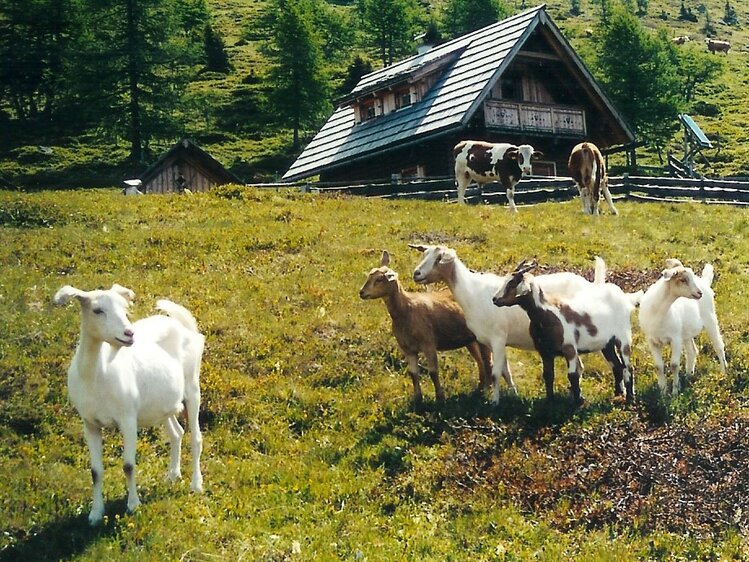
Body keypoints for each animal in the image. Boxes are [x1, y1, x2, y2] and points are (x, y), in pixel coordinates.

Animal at [52, 282, 205, 524]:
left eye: (125, 308)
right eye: (97, 310)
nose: (129, 333)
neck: (96, 377)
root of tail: (182, 325)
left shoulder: (128, 419)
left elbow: (128, 465)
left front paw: (133, 505)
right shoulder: (90, 423)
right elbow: (95, 471)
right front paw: (95, 514)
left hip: (192, 386)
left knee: (196, 438)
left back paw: (196, 485)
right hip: (162, 404)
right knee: (176, 433)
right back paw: (172, 475)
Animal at [360, 249, 494, 402]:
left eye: (379, 279)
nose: (361, 292)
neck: (406, 310)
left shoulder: (428, 344)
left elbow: (433, 372)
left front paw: (440, 398)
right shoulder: (408, 349)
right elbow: (413, 373)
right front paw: (418, 399)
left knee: (487, 362)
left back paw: (487, 390)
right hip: (470, 339)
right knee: (480, 361)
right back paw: (480, 387)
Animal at [406, 245, 604, 402]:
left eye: (439, 258)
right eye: (424, 255)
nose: (416, 274)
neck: (471, 292)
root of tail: (592, 286)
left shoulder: (498, 338)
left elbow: (494, 373)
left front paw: (495, 401)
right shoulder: (489, 341)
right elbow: (504, 371)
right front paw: (513, 394)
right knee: (579, 366)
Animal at [490, 260, 636, 400]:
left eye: (512, 283)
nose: (495, 299)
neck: (548, 314)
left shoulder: (569, 349)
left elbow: (572, 375)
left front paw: (578, 401)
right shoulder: (545, 352)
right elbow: (548, 375)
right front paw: (550, 401)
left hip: (623, 338)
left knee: (628, 366)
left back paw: (630, 398)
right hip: (607, 344)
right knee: (616, 366)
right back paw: (618, 395)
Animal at [636, 258, 724, 394]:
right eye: (683, 280)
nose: (699, 293)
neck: (659, 313)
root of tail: (704, 282)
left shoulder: (675, 339)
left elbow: (674, 365)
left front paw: (675, 391)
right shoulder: (652, 341)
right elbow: (658, 366)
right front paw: (663, 391)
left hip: (710, 319)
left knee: (719, 346)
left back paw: (724, 373)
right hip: (686, 332)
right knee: (692, 351)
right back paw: (689, 375)